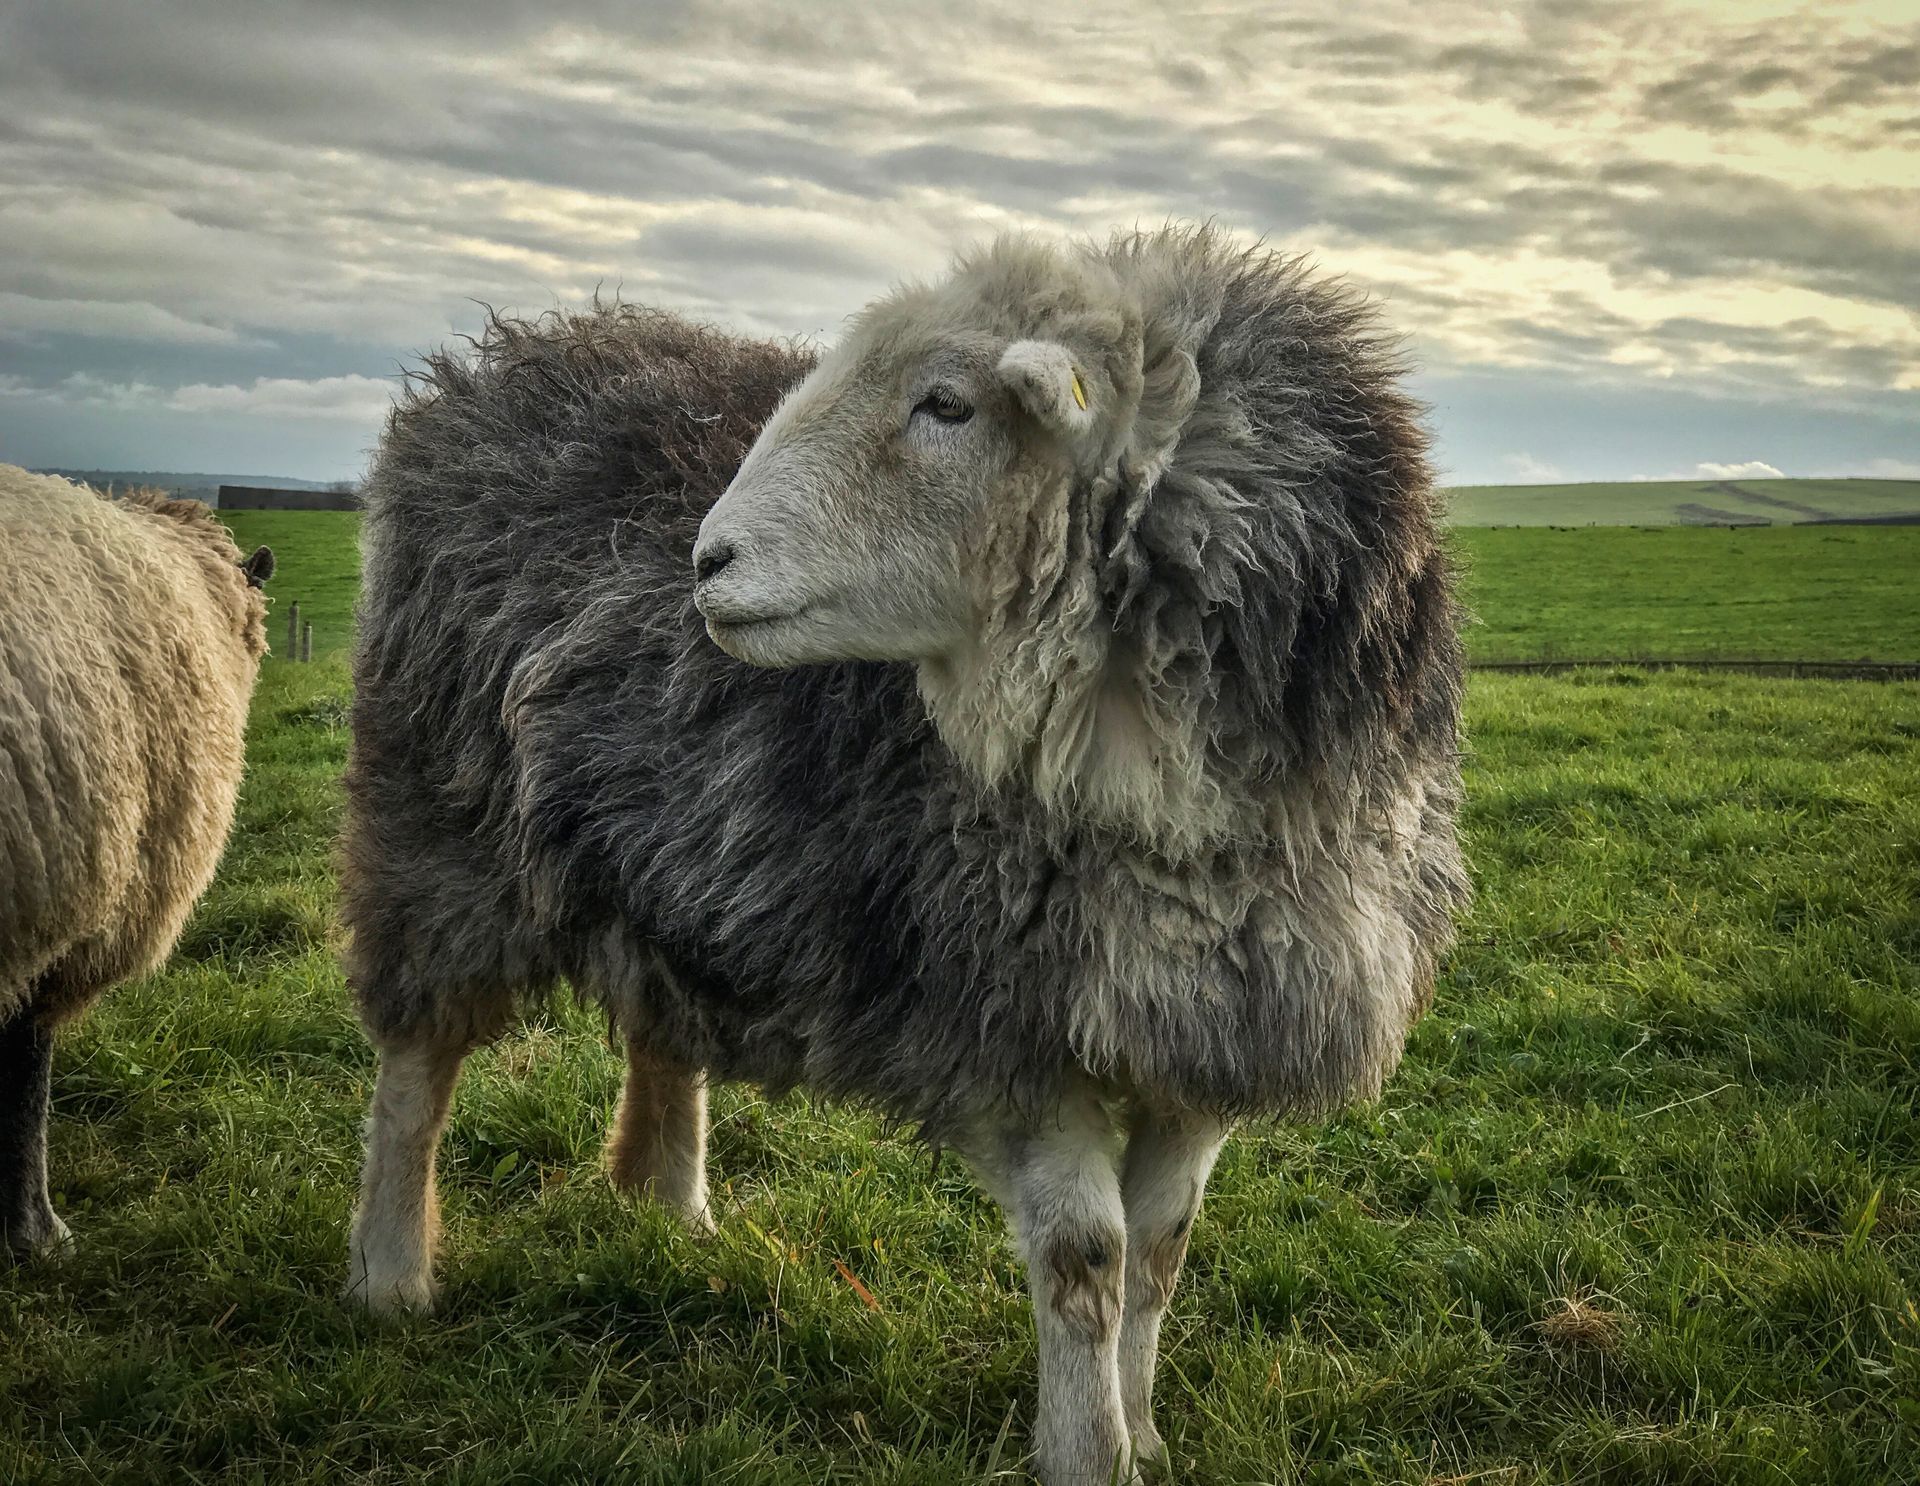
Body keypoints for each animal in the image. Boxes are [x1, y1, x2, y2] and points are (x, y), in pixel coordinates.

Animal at [344, 229, 1468, 1483]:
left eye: (948, 403)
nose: (706, 561)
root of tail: (495, 367)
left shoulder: (1220, 1020)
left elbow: (1163, 1247)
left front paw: (1146, 1434)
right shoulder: (1001, 1019)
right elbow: (1090, 1256)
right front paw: (1087, 1450)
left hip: (663, 843)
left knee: (660, 1009)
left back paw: (669, 1207)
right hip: (442, 824)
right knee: (416, 1068)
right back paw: (391, 1272)